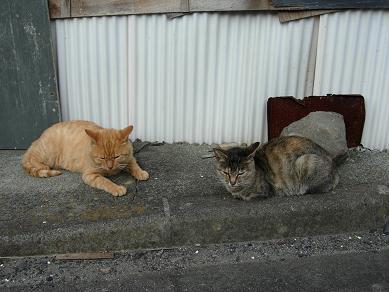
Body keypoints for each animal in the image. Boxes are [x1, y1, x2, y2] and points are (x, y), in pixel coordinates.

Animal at [212, 135, 340, 201]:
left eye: (241, 173)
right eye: (226, 173)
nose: (232, 182)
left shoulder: (264, 191)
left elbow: (246, 196)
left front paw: (240, 195)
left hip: (305, 162)